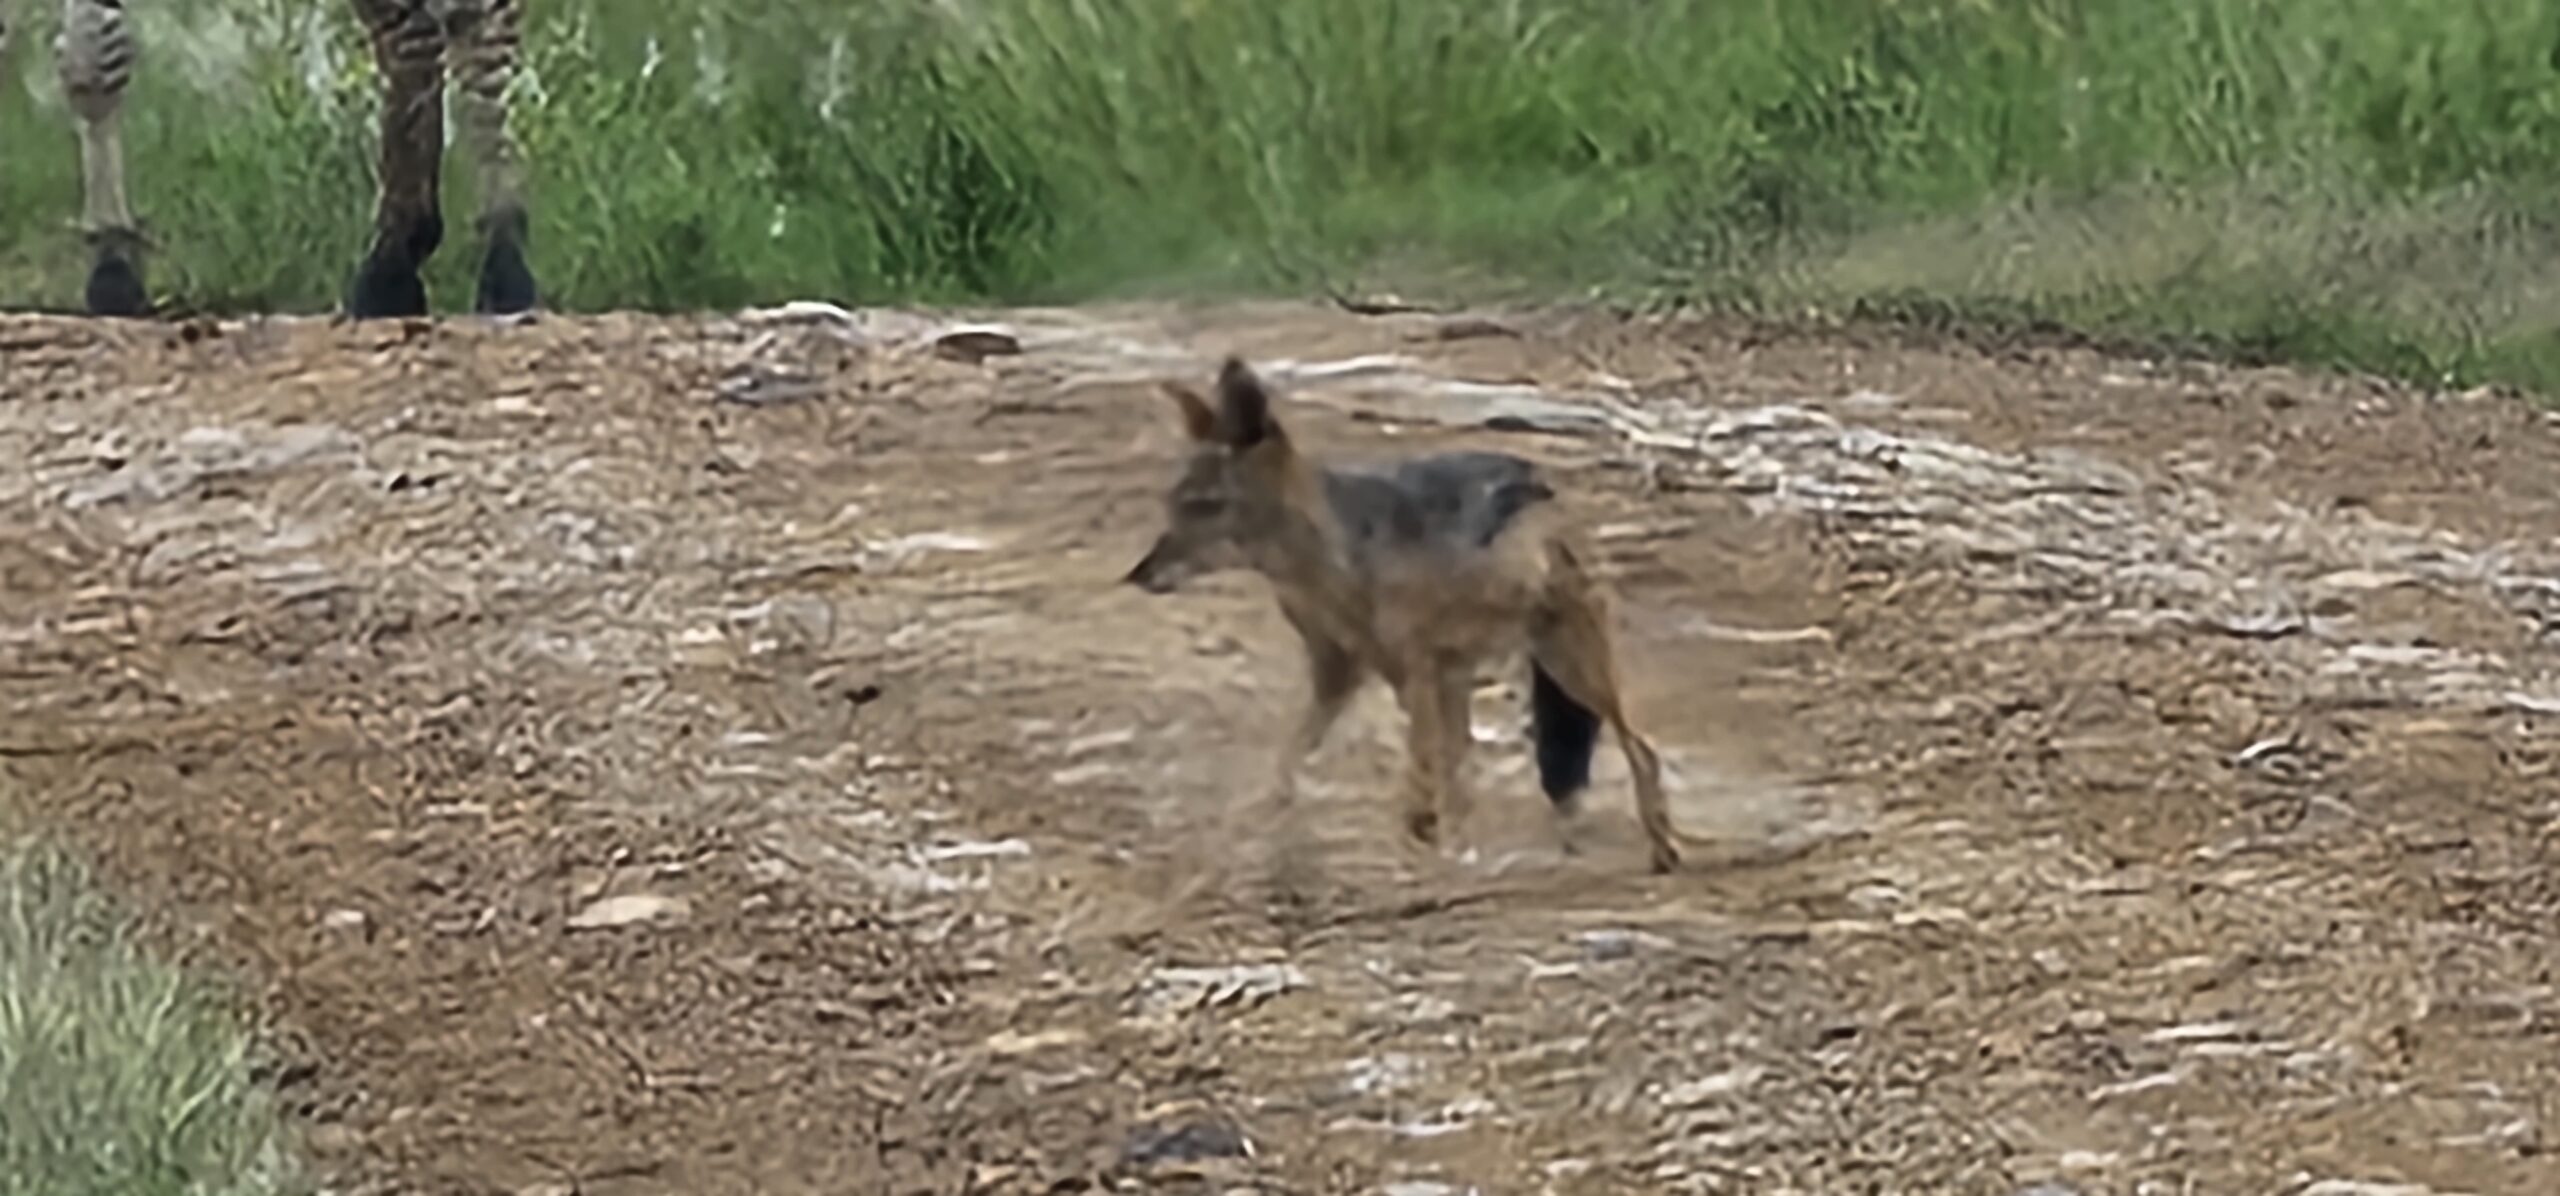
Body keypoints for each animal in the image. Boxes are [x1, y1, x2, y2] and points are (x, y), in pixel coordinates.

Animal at [1122, 357, 1684, 874]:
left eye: (1206, 506)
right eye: (1174, 505)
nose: (1139, 574)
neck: (1331, 564)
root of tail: (1543, 482)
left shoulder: (1411, 670)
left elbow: (1416, 783)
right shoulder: (1342, 674)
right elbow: (1287, 768)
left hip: (1570, 667)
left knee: (1641, 752)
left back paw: (1661, 850)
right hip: (1478, 676)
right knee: (1480, 778)